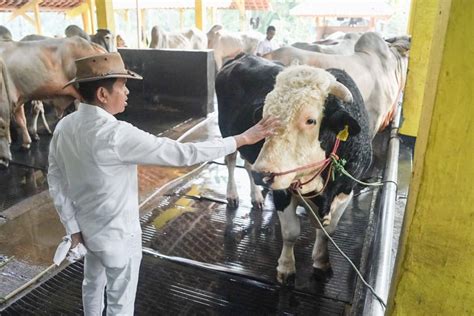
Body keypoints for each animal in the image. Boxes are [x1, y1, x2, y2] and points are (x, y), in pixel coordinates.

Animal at [217, 54, 372, 282]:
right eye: (264, 116)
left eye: (311, 120)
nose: (264, 174)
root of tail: (243, 56)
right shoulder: (282, 189)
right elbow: (291, 233)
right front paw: (286, 268)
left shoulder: (346, 191)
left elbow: (328, 232)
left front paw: (322, 262)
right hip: (227, 133)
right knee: (230, 160)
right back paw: (233, 194)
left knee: (247, 165)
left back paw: (256, 196)